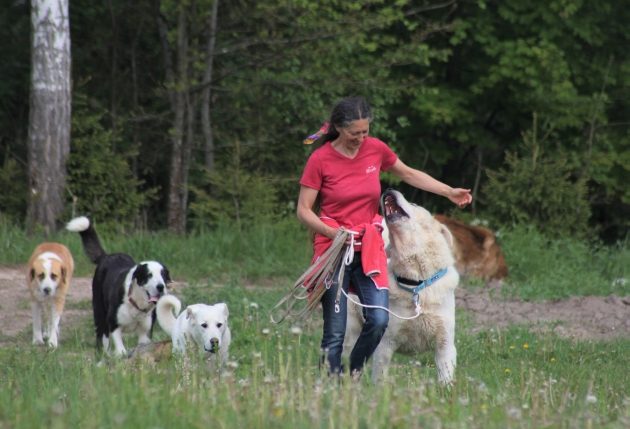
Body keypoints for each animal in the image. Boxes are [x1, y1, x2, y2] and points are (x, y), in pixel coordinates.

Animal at [66, 216, 172, 356]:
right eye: (149, 275)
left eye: (163, 275)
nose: (160, 287)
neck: (136, 303)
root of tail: (107, 256)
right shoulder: (113, 323)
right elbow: (120, 348)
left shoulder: (145, 331)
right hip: (100, 315)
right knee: (102, 339)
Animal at [346, 189, 460, 382]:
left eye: (414, 204)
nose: (388, 189)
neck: (417, 284)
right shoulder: (385, 345)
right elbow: (380, 379)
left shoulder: (445, 345)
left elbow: (446, 378)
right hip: (351, 331)